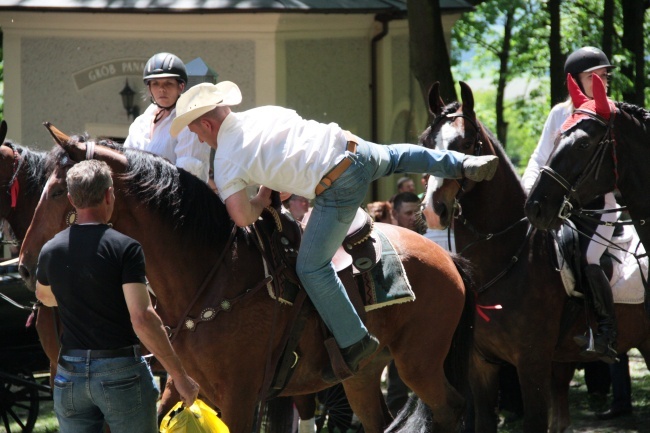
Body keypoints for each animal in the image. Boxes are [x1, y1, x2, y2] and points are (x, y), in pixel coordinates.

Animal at [17, 125, 474, 432]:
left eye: (58, 192)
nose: (23, 265)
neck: (213, 273)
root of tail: (447, 257)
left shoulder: (240, 398)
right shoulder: (189, 386)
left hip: (420, 364)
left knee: (452, 410)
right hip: (362, 376)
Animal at [418, 82, 648, 432]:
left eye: (467, 144)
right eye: (425, 143)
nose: (434, 209)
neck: (506, 258)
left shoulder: (532, 364)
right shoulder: (481, 366)